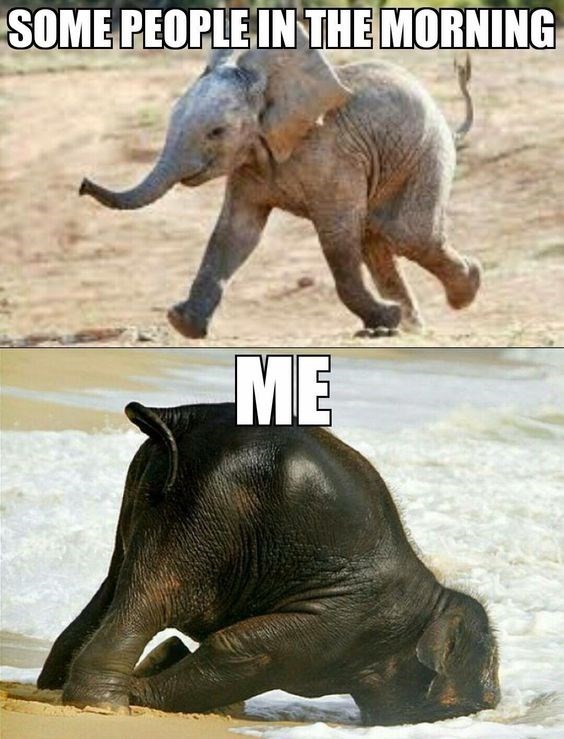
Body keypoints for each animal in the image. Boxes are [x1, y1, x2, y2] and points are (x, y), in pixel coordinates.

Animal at [38, 401, 500, 725]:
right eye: (480, 704)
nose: (492, 703)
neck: (432, 599)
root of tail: (182, 417)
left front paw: (164, 665)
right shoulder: (343, 621)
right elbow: (244, 651)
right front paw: (145, 685)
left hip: (148, 492)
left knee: (114, 585)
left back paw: (54, 689)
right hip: (208, 511)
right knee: (155, 596)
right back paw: (106, 705)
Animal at [79, 25, 481, 339]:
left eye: (216, 132)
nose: (82, 184)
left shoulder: (332, 157)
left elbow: (336, 237)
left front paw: (387, 318)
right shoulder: (249, 162)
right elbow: (235, 233)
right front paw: (183, 324)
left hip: (426, 153)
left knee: (407, 233)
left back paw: (464, 291)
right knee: (378, 240)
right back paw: (410, 326)